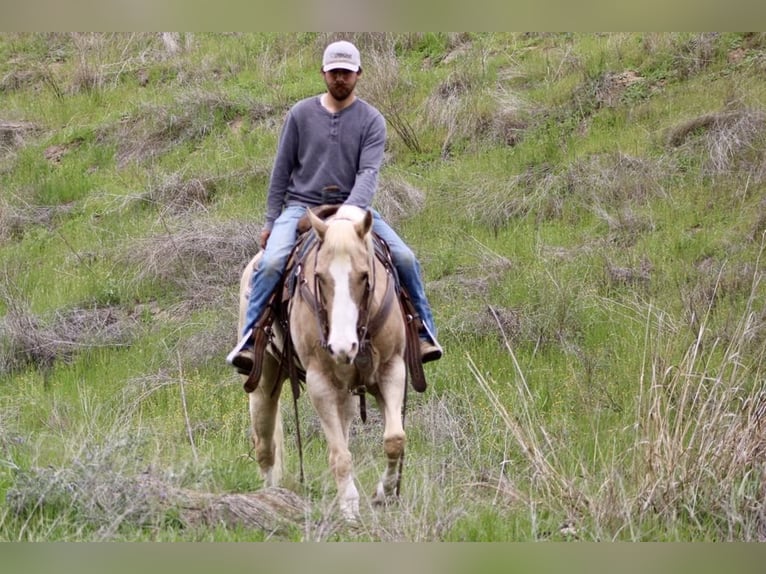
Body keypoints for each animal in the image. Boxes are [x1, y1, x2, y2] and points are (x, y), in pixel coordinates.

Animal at [236, 205, 408, 520]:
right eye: (319, 276)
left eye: (364, 276)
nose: (342, 347)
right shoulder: (320, 384)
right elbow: (339, 456)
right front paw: (350, 511)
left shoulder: (392, 370)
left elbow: (394, 439)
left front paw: (382, 495)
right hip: (263, 383)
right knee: (265, 445)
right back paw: (270, 496)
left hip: (346, 395)